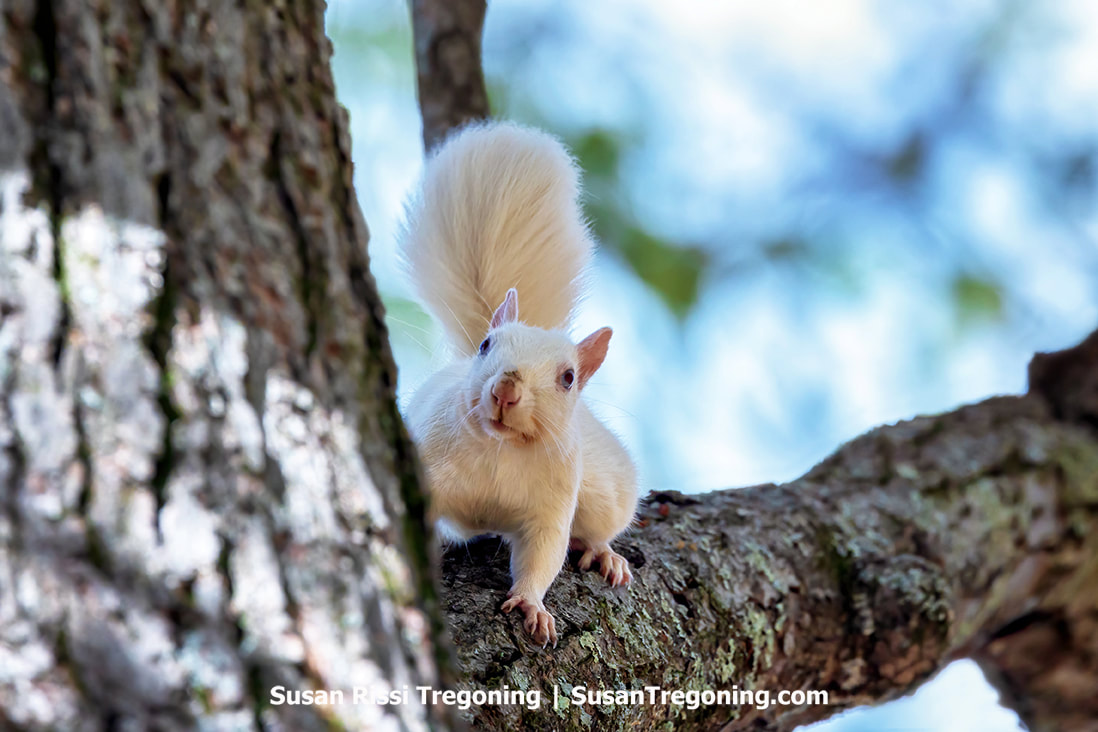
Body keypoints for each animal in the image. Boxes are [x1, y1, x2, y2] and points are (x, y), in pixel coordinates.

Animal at [399, 121, 639, 647]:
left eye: (568, 378)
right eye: (486, 345)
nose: (505, 390)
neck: (501, 451)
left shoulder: (552, 503)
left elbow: (544, 553)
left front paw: (532, 606)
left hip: (604, 489)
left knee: (601, 523)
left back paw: (604, 553)